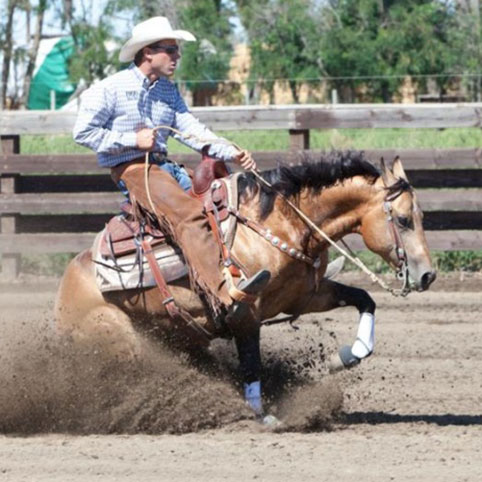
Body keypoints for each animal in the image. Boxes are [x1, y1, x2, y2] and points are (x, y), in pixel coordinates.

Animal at [54, 151, 434, 422]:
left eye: (421, 217)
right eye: (403, 220)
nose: (428, 275)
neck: (281, 223)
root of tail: (64, 292)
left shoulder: (307, 295)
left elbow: (365, 300)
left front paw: (345, 356)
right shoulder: (245, 312)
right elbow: (251, 362)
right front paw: (259, 415)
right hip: (115, 330)